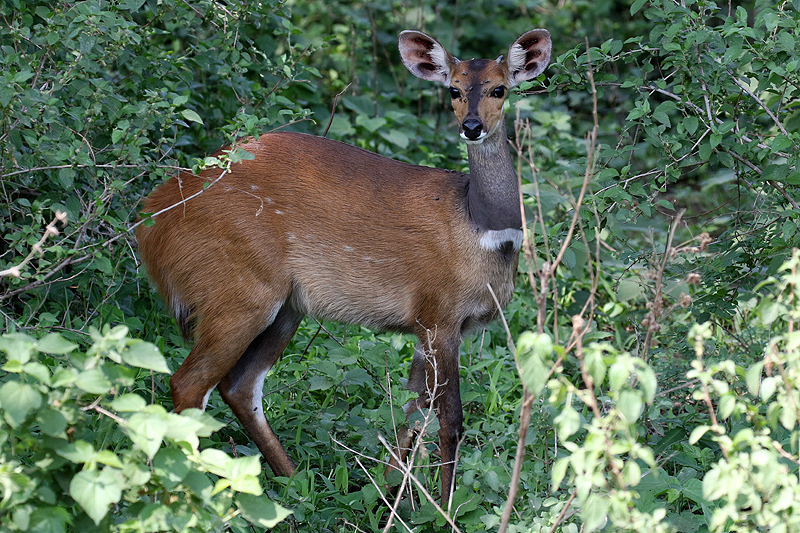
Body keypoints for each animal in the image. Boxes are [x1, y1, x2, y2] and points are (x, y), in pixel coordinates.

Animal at [138, 29, 552, 502]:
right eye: (455, 89)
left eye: (500, 88)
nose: (472, 127)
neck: (481, 227)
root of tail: (152, 223)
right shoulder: (439, 317)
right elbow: (450, 419)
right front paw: (442, 508)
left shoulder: (431, 328)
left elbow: (411, 410)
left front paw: (389, 496)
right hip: (240, 294)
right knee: (189, 383)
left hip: (286, 307)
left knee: (240, 386)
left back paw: (295, 485)